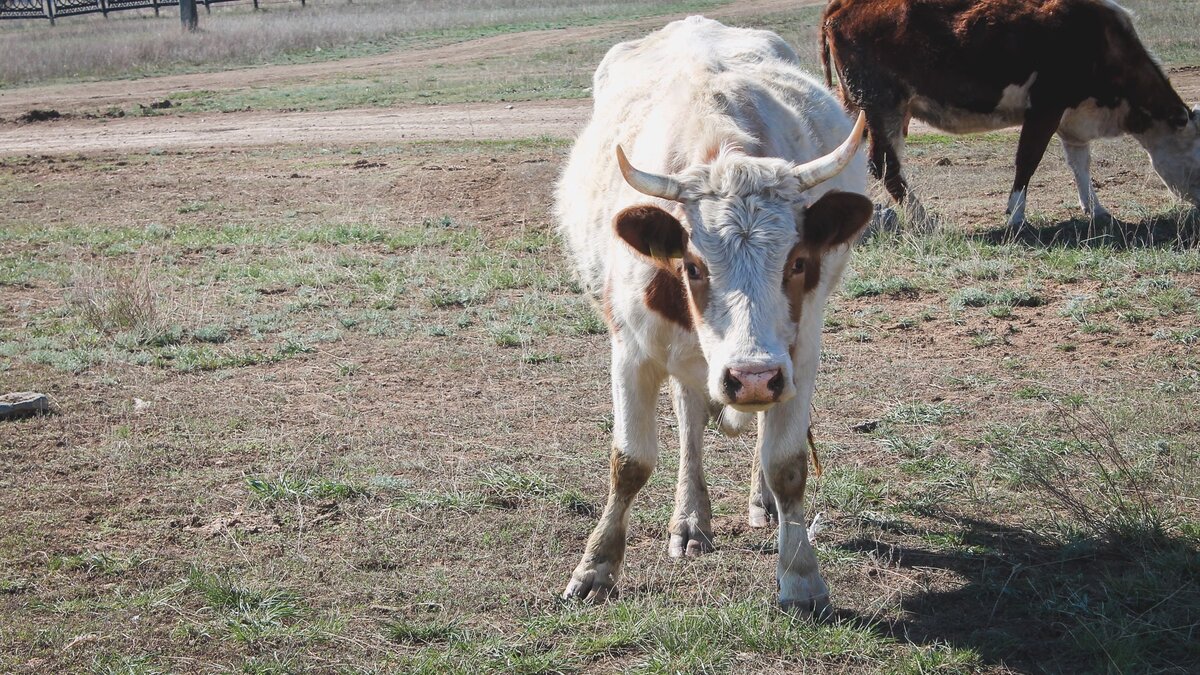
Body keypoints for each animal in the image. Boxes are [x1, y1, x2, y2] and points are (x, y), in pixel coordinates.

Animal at [552, 15, 873, 612]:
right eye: (694, 267)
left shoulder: (798, 353)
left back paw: (758, 504)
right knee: (689, 421)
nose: (751, 376)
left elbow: (786, 463)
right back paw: (691, 520)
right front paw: (596, 567)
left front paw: (801, 576)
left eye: (798, 261)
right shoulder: (631, 351)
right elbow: (631, 461)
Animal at [820, 0, 1200, 225]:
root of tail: (843, 5)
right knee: (886, 165)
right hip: (882, 105)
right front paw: (1016, 215)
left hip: (864, 108)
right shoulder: (1045, 108)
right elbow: (1027, 160)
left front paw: (1096, 209)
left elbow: (1080, 164)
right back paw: (922, 217)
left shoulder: (1071, 118)